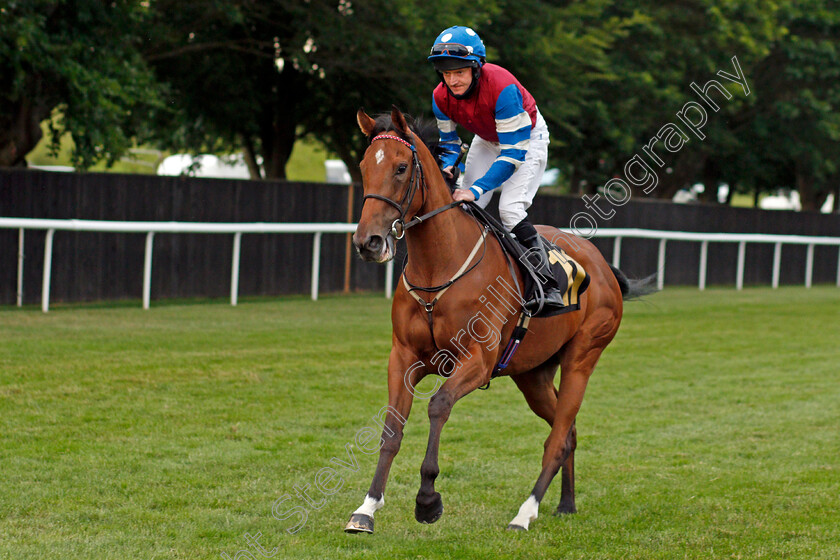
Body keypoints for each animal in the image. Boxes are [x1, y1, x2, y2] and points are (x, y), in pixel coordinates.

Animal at [344, 106, 632, 532]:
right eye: (365, 166)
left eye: (400, 167)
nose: (369, 242)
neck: (439, 267)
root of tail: (601, 263)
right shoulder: (404, 357)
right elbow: (392, 428)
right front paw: (366, 509)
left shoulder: (477, 361)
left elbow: (438, 406)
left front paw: (427, 499)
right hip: (533, 375)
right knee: (568, 432)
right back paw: (565, 503)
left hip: (582, 359)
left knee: (558, 438)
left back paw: (525, 513)